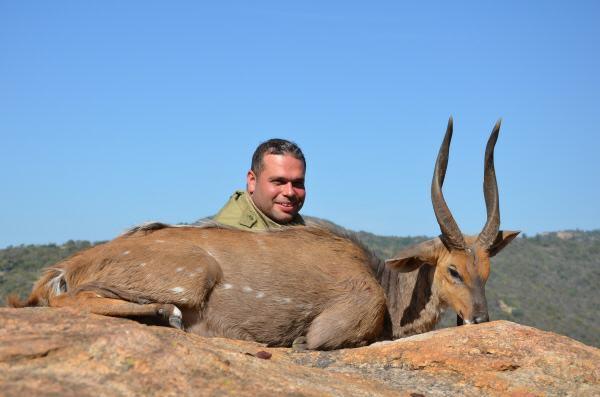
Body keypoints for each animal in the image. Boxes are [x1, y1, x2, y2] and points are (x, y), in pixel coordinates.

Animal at [8, 118, 516, 350]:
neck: (385, 287)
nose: (480, 319)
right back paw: (164, 315)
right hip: (191, 276)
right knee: (71, 299)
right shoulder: (334, 327)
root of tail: (69, 265)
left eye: (488, 271)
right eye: (452, 270)